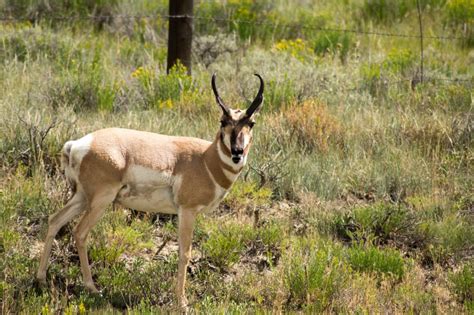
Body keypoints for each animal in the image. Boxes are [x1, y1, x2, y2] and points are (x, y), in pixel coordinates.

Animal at [38, 73, 262, 308]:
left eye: (251, 123)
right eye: (223, 121)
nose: (237, 152)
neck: (206, 159)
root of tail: (77, 144)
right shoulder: (187, 211)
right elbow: (185, 253)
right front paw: (182, 302)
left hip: (82, 198)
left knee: (55, 220)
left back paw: (41, 279)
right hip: (100, 201)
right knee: (80, 233)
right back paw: (92, 288)